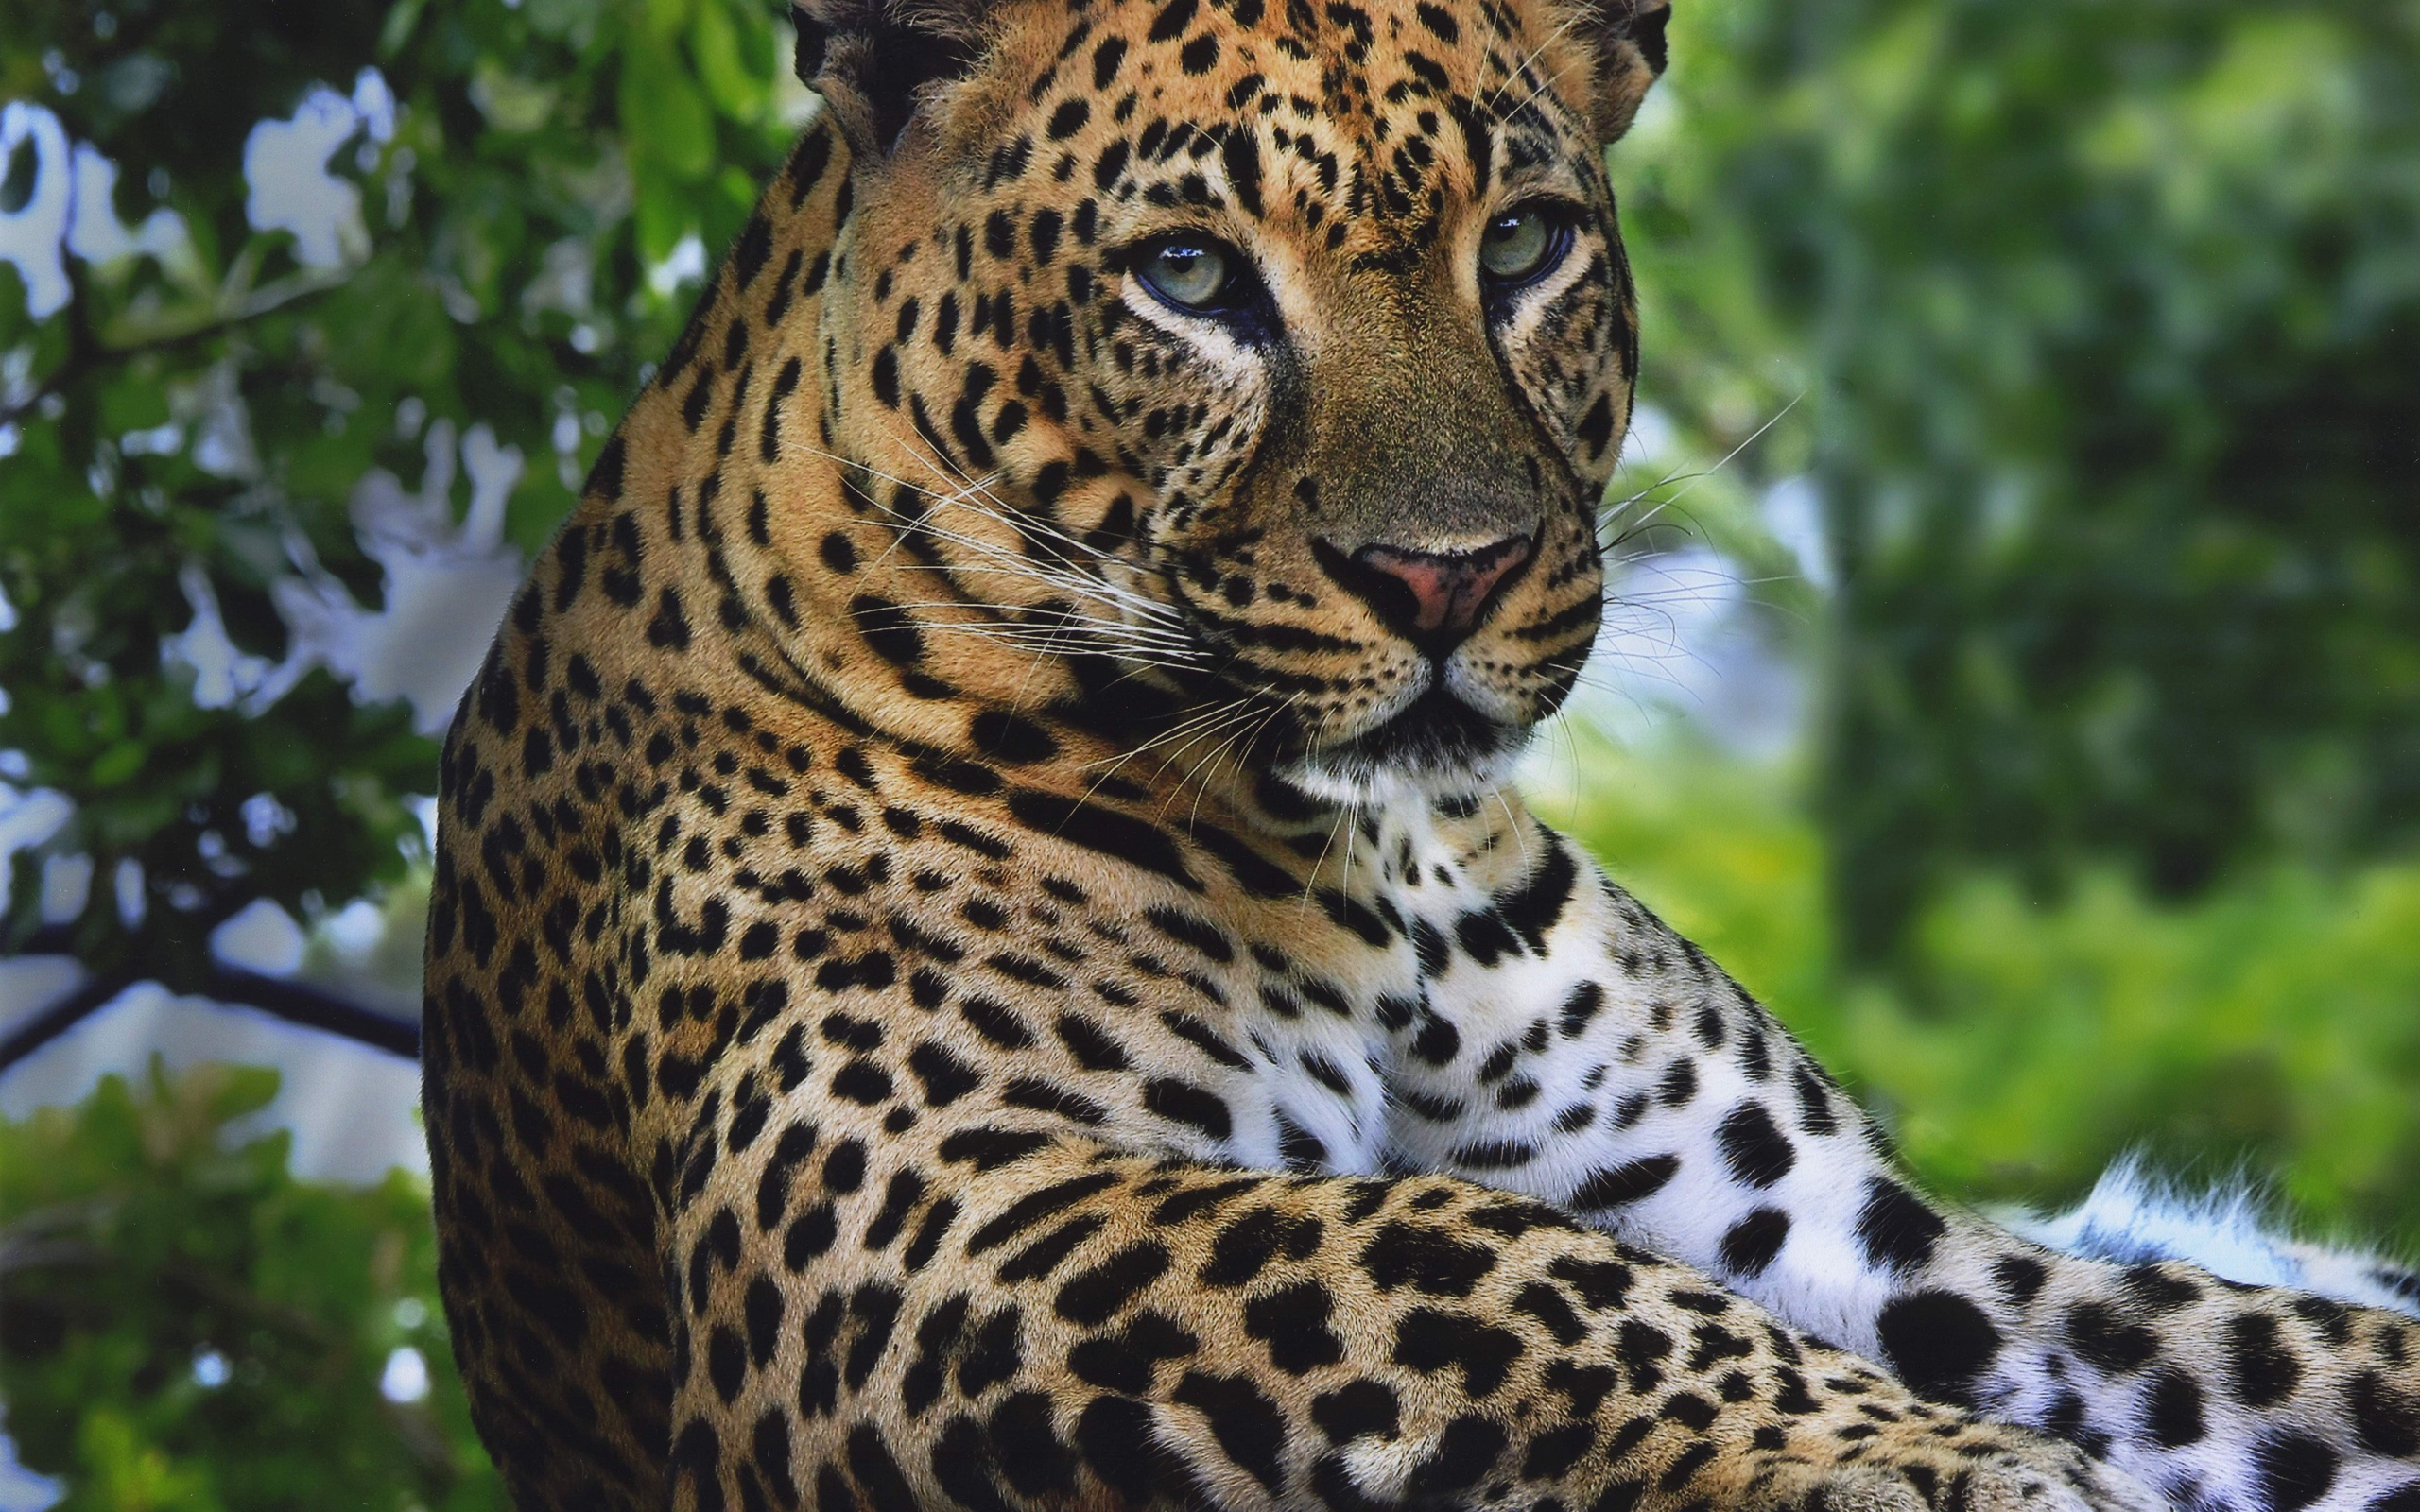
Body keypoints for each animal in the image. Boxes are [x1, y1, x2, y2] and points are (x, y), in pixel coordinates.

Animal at [419, 0, 2420, 1508]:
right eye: (1187, 276)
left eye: (1521, 245)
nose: (1445, 574)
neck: (1375, 868)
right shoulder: (934, 1219)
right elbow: (1464, 1246)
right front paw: (1944, 1470)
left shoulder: (1879, 1243)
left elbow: (2246, 1343)